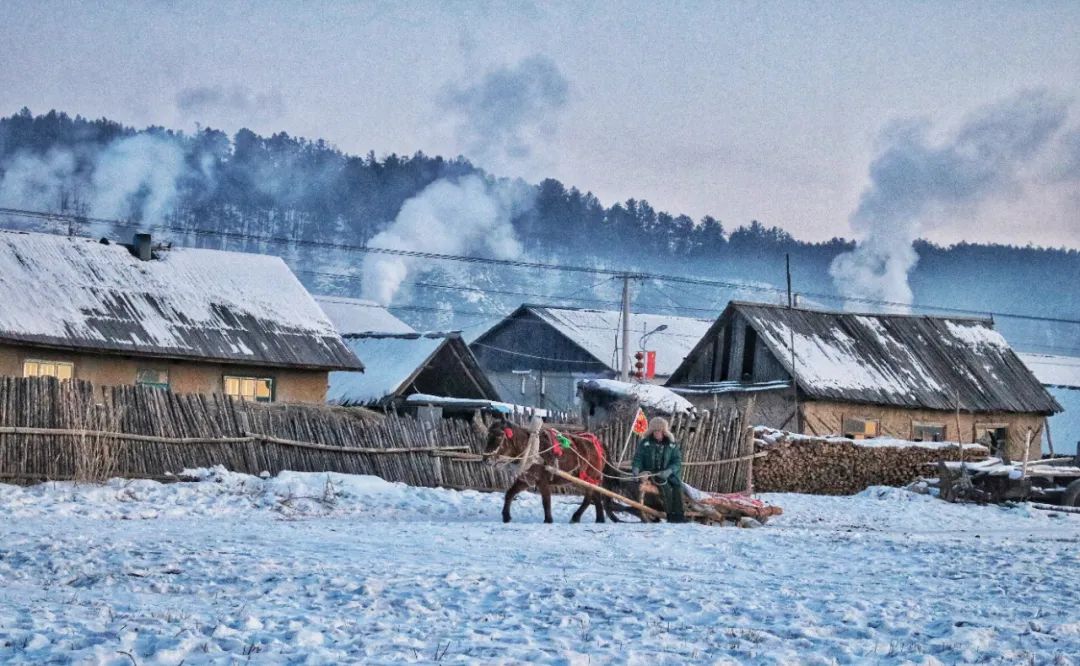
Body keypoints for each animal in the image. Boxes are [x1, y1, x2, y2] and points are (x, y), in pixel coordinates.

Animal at [479, 418, 622, 522]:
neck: (532, 451)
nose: (486, 459)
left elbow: (546, 501)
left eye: (499, 436)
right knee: (595, 496)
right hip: (580, 479)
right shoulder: (526, 480)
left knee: (590, 496)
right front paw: (506, 516)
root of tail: (598, 443)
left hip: (590, 476)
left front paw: (548, 520)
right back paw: (598, 519)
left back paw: (578, 517)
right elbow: (509, 493)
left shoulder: (543, 481)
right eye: (487, 436)